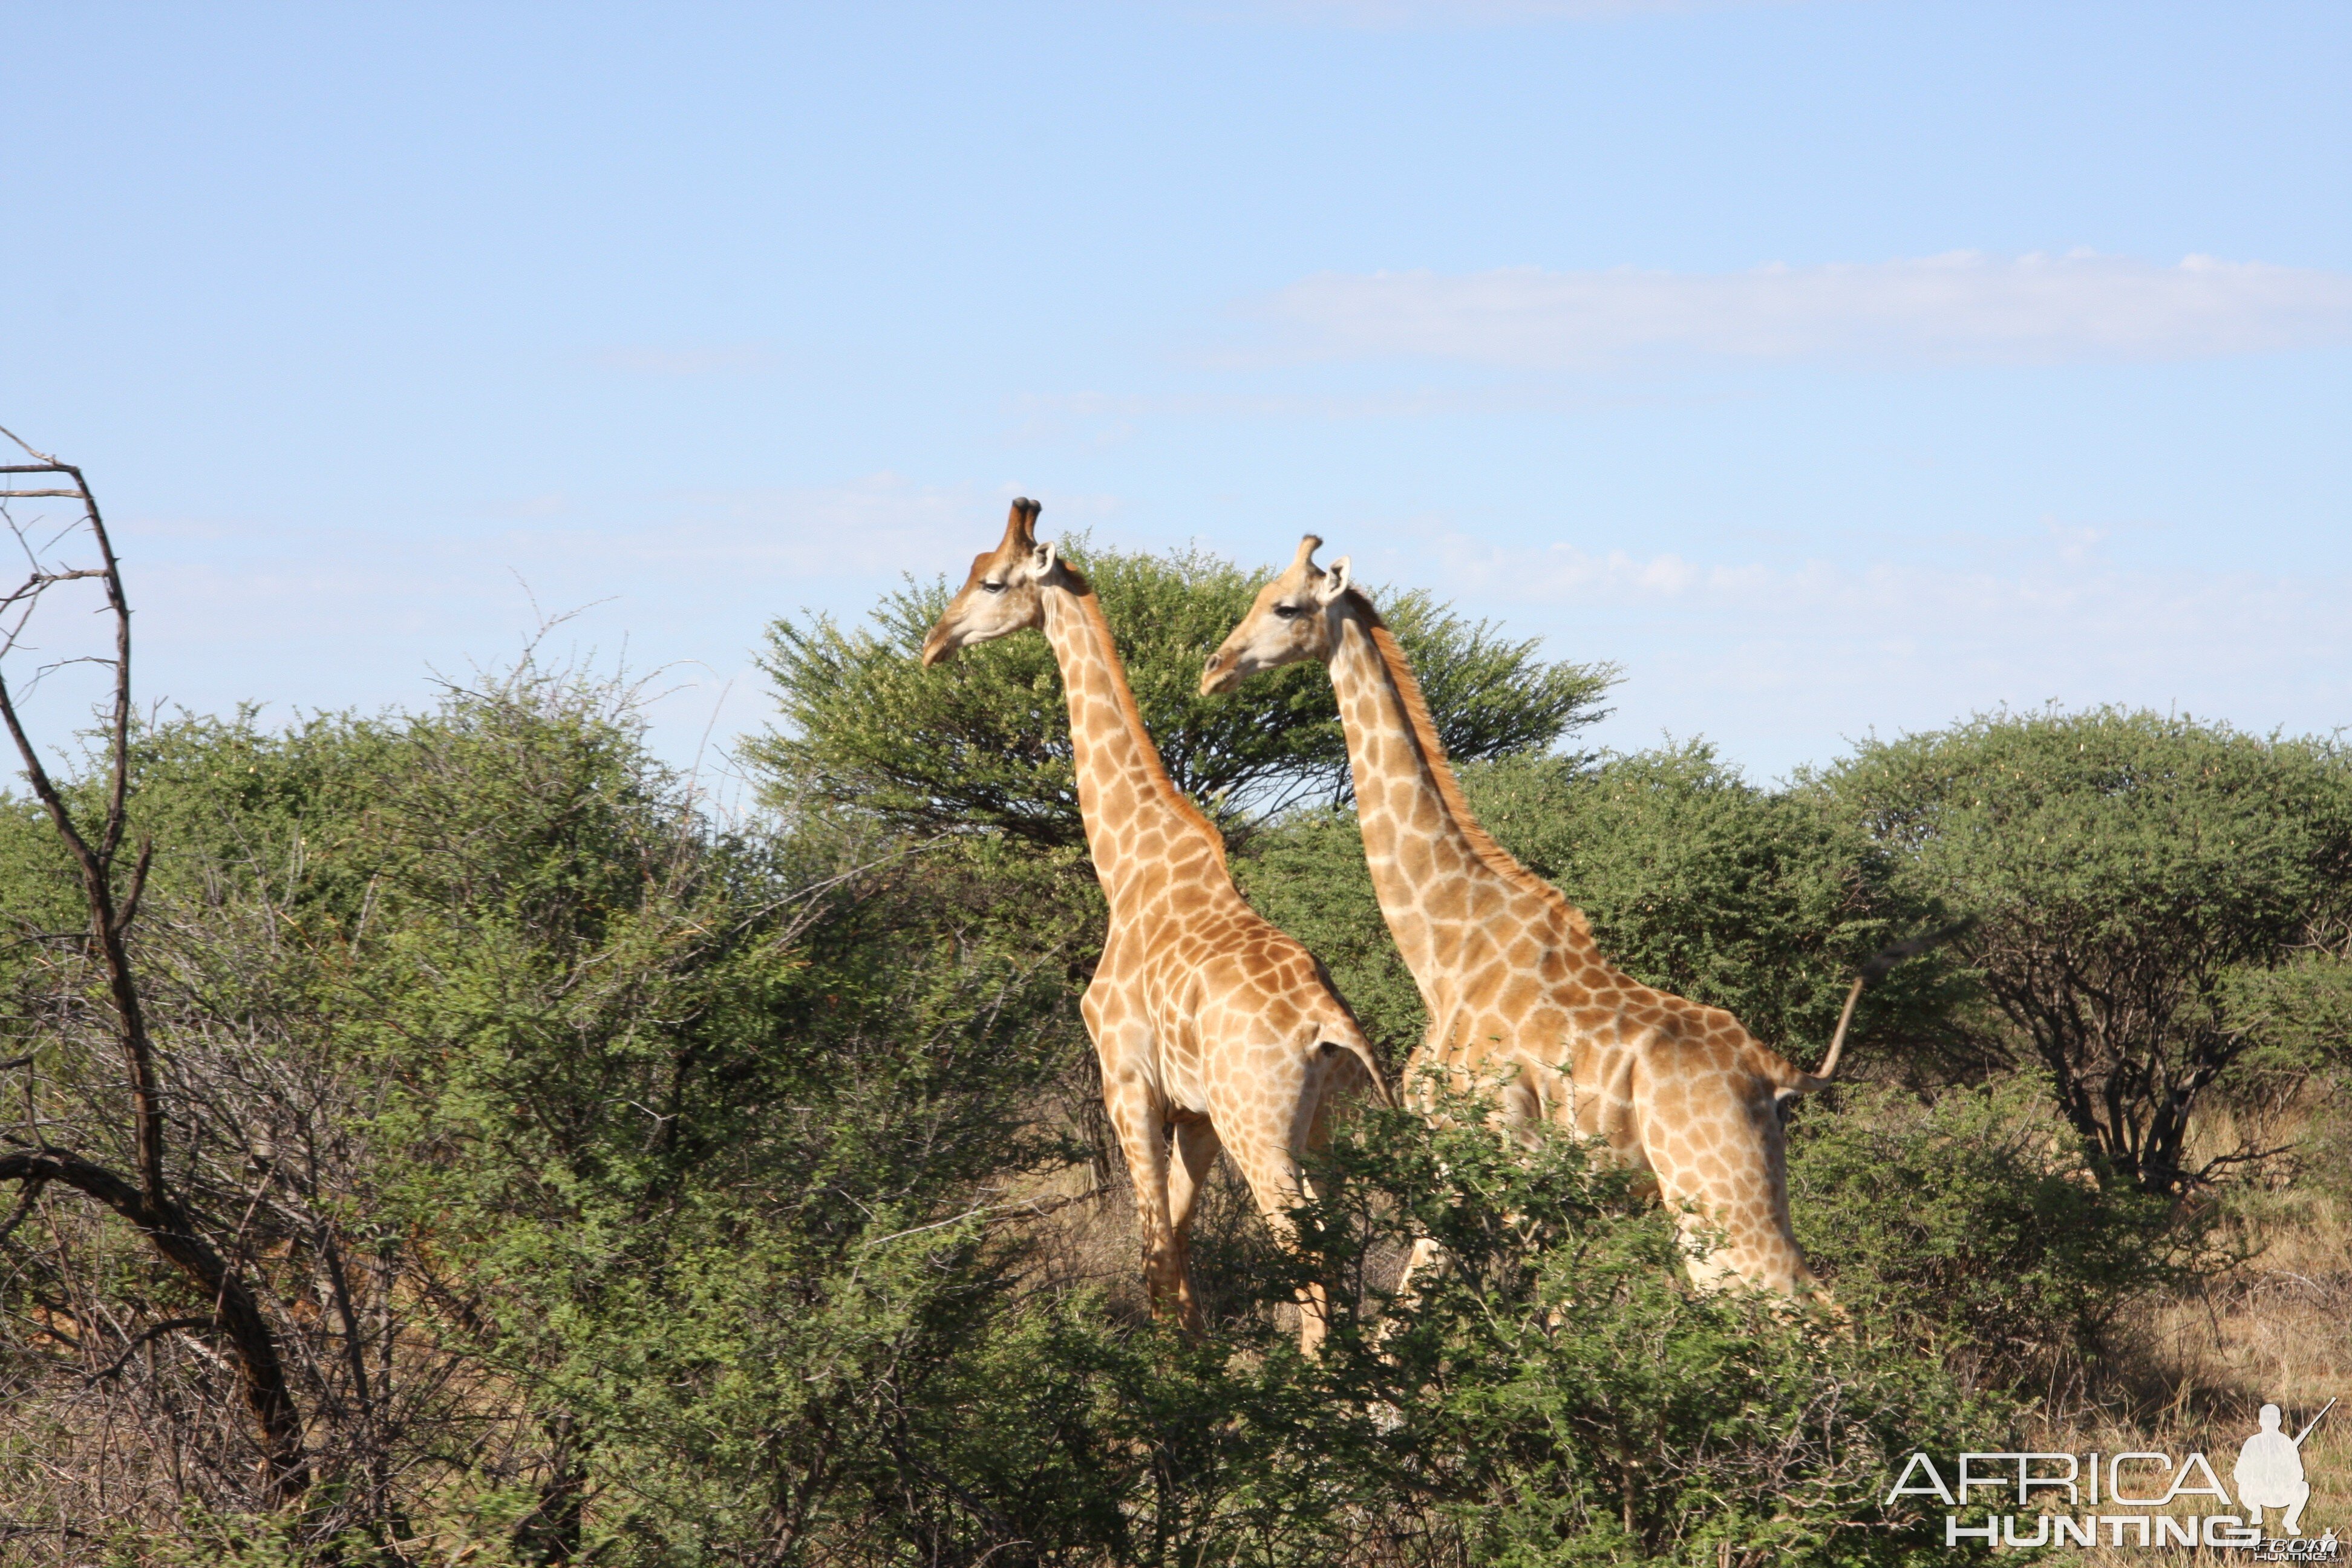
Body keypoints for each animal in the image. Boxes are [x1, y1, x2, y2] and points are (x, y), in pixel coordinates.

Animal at [922, 505, 1392, 1363]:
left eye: (994, 582)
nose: (936, 642)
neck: (1129, 868)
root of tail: (1328, 1023)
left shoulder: (1127, 1081)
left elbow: (1152, 1242)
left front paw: (1164, 1371)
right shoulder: (1196, 1112)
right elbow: (1175, 1234)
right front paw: (1195, 1359)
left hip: (1260, 1132)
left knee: (1306, 1253)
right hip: (1325, 1133)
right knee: (1341, 1241)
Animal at [1204, 540, 1863, 1298]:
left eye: (1286, 606)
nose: (1214, 668)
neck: (1443, 946)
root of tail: (1773, 1068)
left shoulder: (1490, 1157)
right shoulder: (1491, 1177)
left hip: (1712, 1191)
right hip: (1735, 1188)